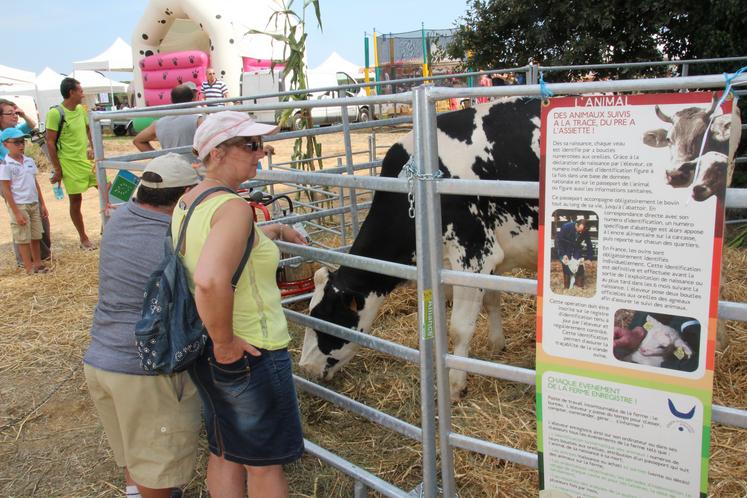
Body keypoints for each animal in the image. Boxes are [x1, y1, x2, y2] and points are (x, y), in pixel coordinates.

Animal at [300, 99, 540, 398]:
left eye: (323, 317)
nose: (305, 367)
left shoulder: (474, 252)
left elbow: (459, 327)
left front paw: (455, 384)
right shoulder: (485, 259)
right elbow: (492, 301)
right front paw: (497, 344)